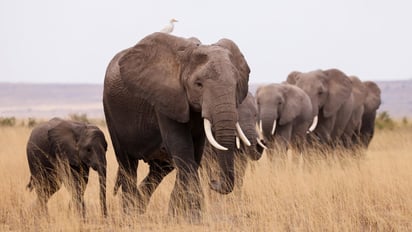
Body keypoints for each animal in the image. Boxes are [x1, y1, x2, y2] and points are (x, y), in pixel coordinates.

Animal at [103, 31, 251, 220]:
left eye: (236, 85)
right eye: (198, 84)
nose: (213, 182)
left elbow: (194, 152)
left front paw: (179, 214)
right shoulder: (165, 97)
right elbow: (182, 147)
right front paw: (193, 215)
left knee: (159, 170)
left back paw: (139, 207)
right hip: (110, 111)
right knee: (127, 164)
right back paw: (130, 215)